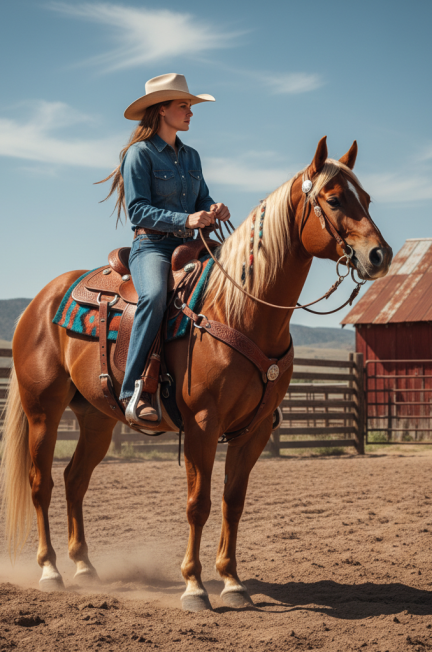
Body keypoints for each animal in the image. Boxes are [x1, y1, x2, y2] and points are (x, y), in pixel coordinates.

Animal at [1, 137, 392, 611]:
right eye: (334, 200)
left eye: (366, 199)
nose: (380, 255)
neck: (240, 310)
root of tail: (41, 301)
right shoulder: (203, 425)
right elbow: (198, 503)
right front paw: (194, 586)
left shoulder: (253, 429)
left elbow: (232, 502)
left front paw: (233, 582)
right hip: (43, 411)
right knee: (41, 484)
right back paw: (50, 571)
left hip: (96, 418)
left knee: (75, 480)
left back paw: (84, 566)